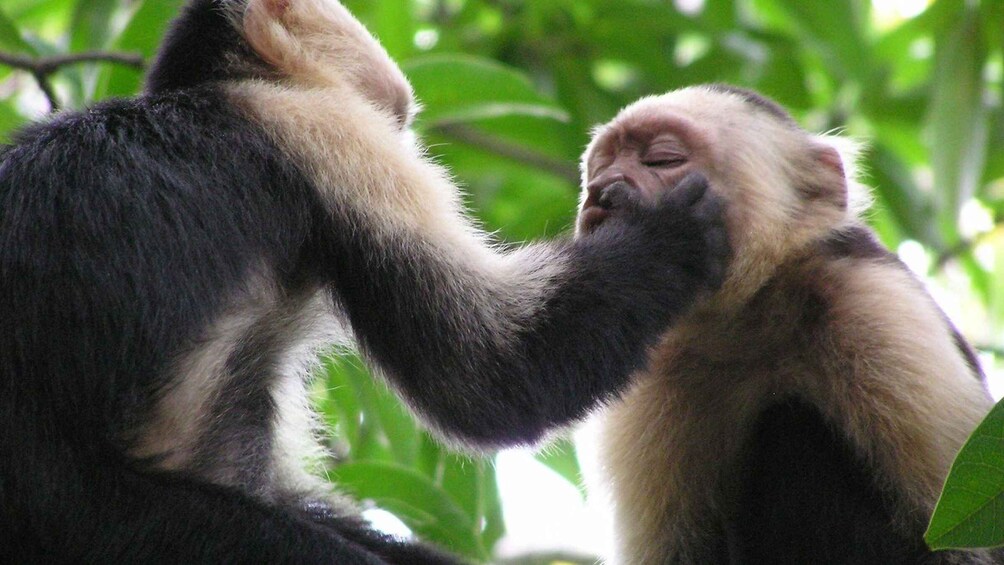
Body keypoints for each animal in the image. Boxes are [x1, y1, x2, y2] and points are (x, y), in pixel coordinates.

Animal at [577, 84, 998, 565]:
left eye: (663, 159)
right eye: (599, 169)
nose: (601, 191)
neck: (749, 323)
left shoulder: (874, 303)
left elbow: (959, 544)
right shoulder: (653, 375)